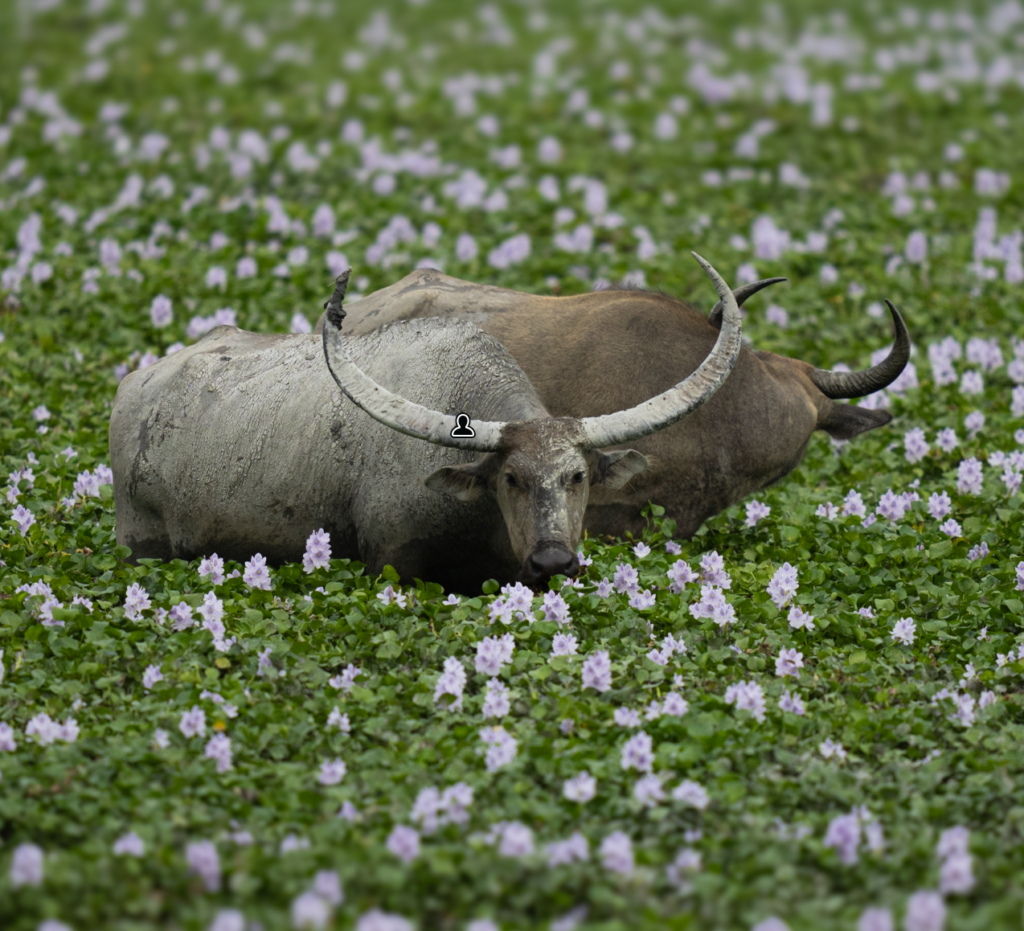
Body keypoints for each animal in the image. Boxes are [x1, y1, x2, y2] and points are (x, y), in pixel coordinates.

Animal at [112, 254, 745, 589]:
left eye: (579, 476)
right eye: (510, 478)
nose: (553, 561)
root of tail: (132, 388)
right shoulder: (393, 564)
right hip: (141, 549)